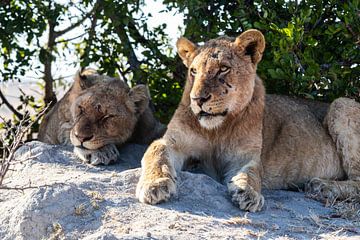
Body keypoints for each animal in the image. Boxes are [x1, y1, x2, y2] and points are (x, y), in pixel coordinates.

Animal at [136, 29, 360, 212]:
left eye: (223, 68)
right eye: (194, 71)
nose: (198, 99)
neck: (216, 130)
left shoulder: (245, 156)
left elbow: (251, 173)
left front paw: (249, 193)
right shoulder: (172, 141)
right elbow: (157, 154)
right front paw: (154, 185)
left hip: (341, 104)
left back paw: (322, 186)